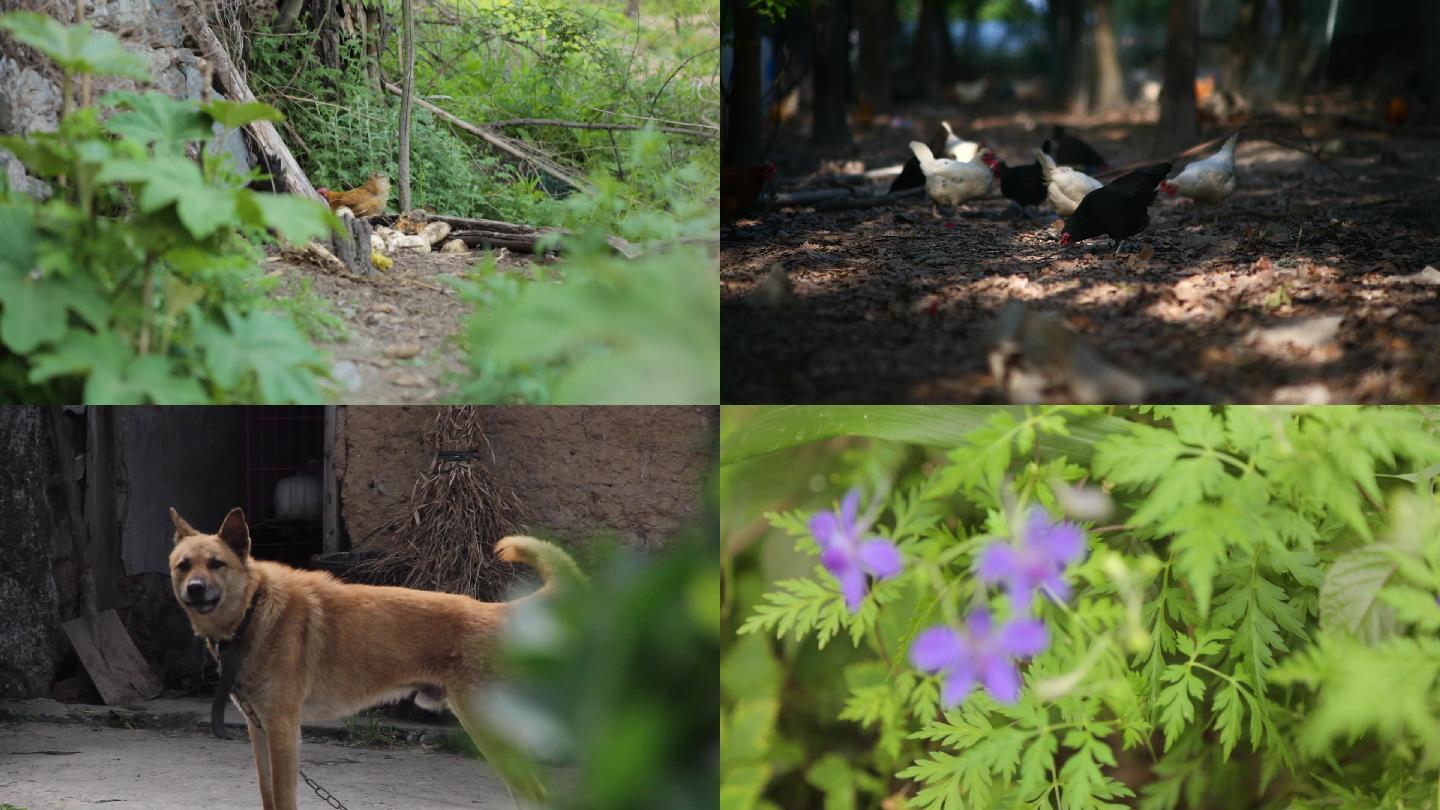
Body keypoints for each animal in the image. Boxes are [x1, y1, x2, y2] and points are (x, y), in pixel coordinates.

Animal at [168, 504, 573, 807]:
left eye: (216, 563)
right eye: (183, 565)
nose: (195, 589)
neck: (253, 608)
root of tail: (493, 612)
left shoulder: (283, 731)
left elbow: (284, 800)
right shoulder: (260, 731)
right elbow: (268, 798)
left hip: (489, 731)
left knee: (536, 794)